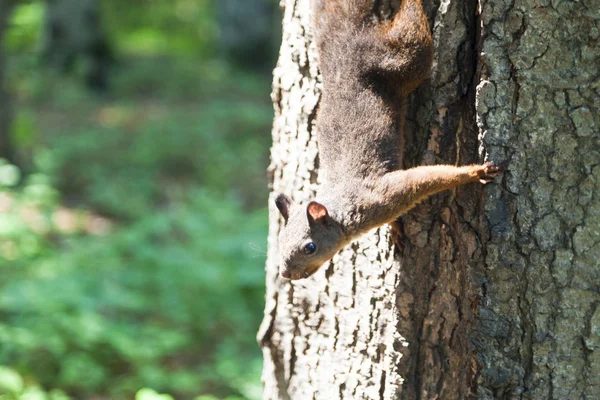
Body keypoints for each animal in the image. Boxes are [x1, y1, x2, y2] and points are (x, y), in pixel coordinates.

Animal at [274, 0, 500, 280]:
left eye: (310, 247)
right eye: (280, 241)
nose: (286, 274)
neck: (344, 210)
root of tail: (345, 43)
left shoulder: (380, 197)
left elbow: (426, 178)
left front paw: (474, 172)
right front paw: (396, 231)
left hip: (400, 61)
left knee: (413, 35)